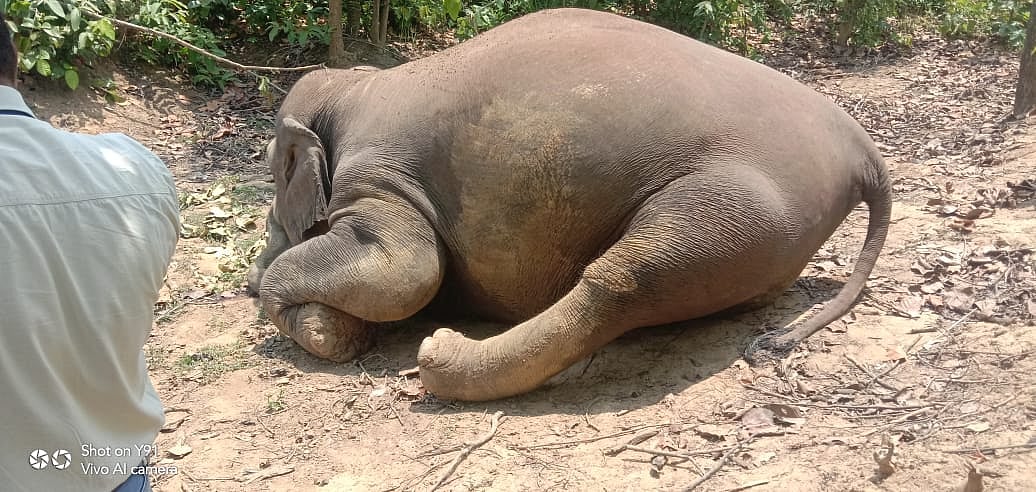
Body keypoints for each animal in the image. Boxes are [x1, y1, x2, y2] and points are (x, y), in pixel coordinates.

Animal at [247, 8, 892, 402]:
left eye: (271, 172)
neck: (350, 87)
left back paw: (440, 356)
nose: (250, 279)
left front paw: (324, 331)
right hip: (776, 232)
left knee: (629, 278)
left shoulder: (380, 173)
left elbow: (405, 271)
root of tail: (862, 155)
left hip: (741, 197)